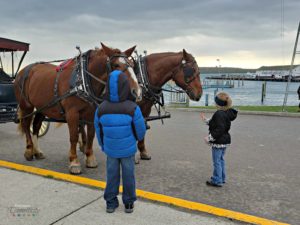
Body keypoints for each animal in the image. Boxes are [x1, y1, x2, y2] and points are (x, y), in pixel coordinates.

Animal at [14, 43, 141, 174]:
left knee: (36, 125)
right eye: (116, 65)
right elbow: (74, 136)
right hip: (26, 106)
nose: (136, 92)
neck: (82, 80)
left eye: (132, 65)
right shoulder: (72, 113)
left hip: (42, 107)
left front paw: (90, 158)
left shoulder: (91, 113)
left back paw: (37, 151)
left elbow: (91, 135)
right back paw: (29, 151)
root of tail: (22, 71)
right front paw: (74, 162)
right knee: (25, 124)